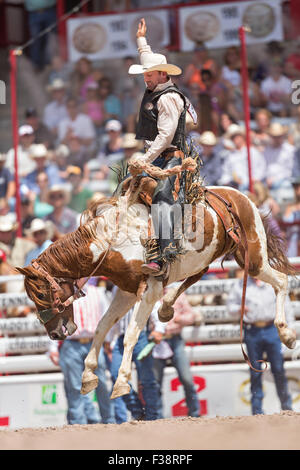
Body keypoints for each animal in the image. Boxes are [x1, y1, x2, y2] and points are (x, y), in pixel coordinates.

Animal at [17, 178, 298, 398]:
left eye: (40, 293)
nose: (54, 333)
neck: (114, 241)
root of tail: (239, 195)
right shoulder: (127, 291)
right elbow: (102, 326)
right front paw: (88, 376)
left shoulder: (148, 292)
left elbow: (130, 335)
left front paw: (121, 382)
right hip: (208, 259)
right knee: (196, 275)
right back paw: (167, 308)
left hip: (254, 259)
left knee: (282, 281)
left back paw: (287, 334)